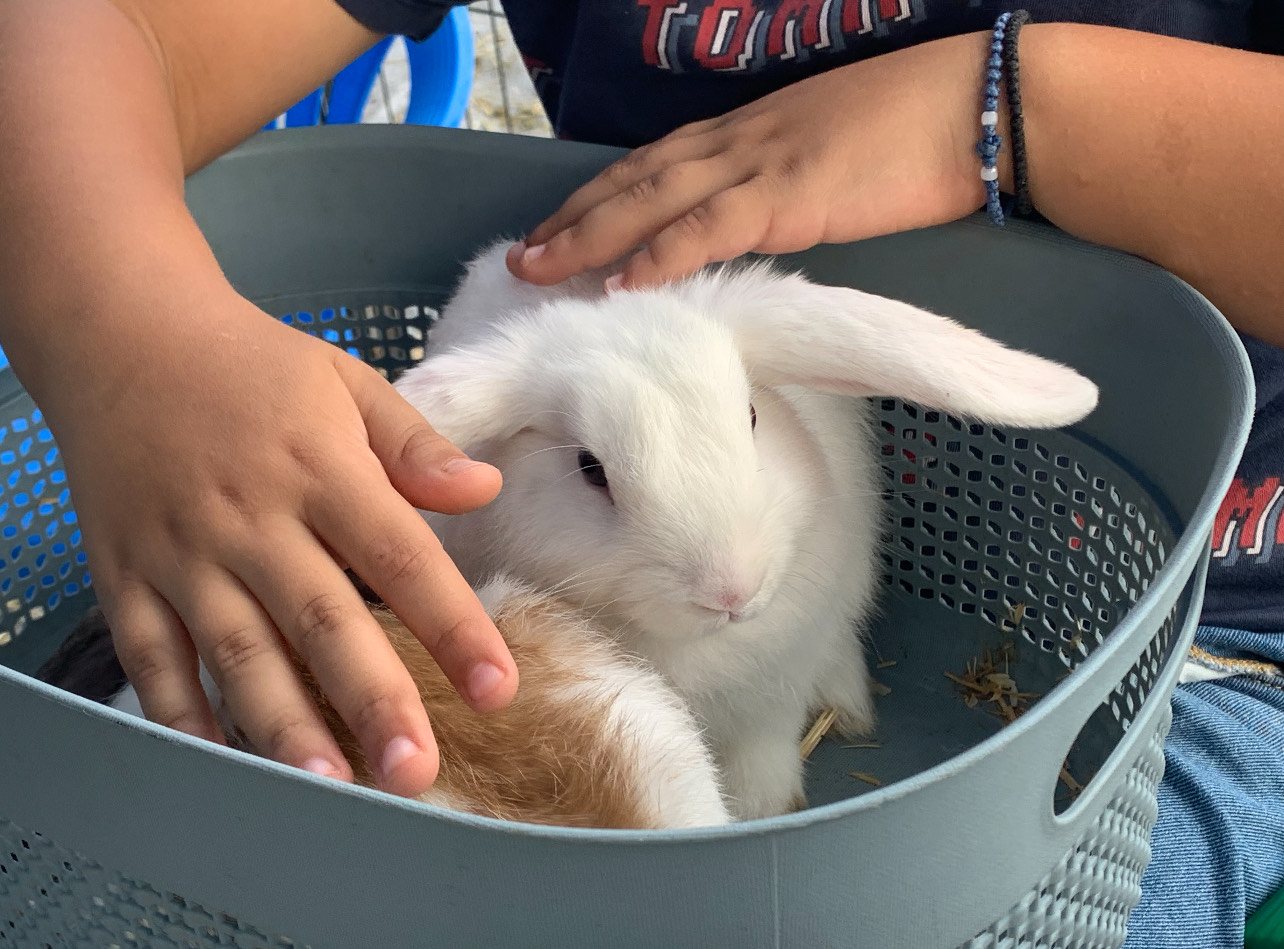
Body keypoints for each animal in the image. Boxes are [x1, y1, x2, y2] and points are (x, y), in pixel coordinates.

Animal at [393, 241, 1099, 820]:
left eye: (753, 416)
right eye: (590, 469)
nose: (732, 593)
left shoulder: (773, 695)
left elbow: (767, 756)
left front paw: (767, 807)